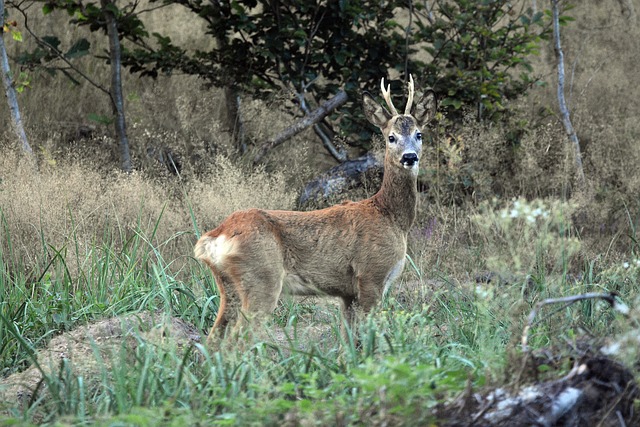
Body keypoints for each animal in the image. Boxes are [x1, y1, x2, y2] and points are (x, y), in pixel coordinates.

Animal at [192, 76, 438, 344]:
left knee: (214, 338)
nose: (409, 157)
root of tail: (215, 235)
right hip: (261, 279)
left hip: (228, 286)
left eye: (419, 134)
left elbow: (348, 342)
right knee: (236, 341)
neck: (391, 217)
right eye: (391, 137)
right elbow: (367, 339)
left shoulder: (347, 293)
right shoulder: (371, 274)